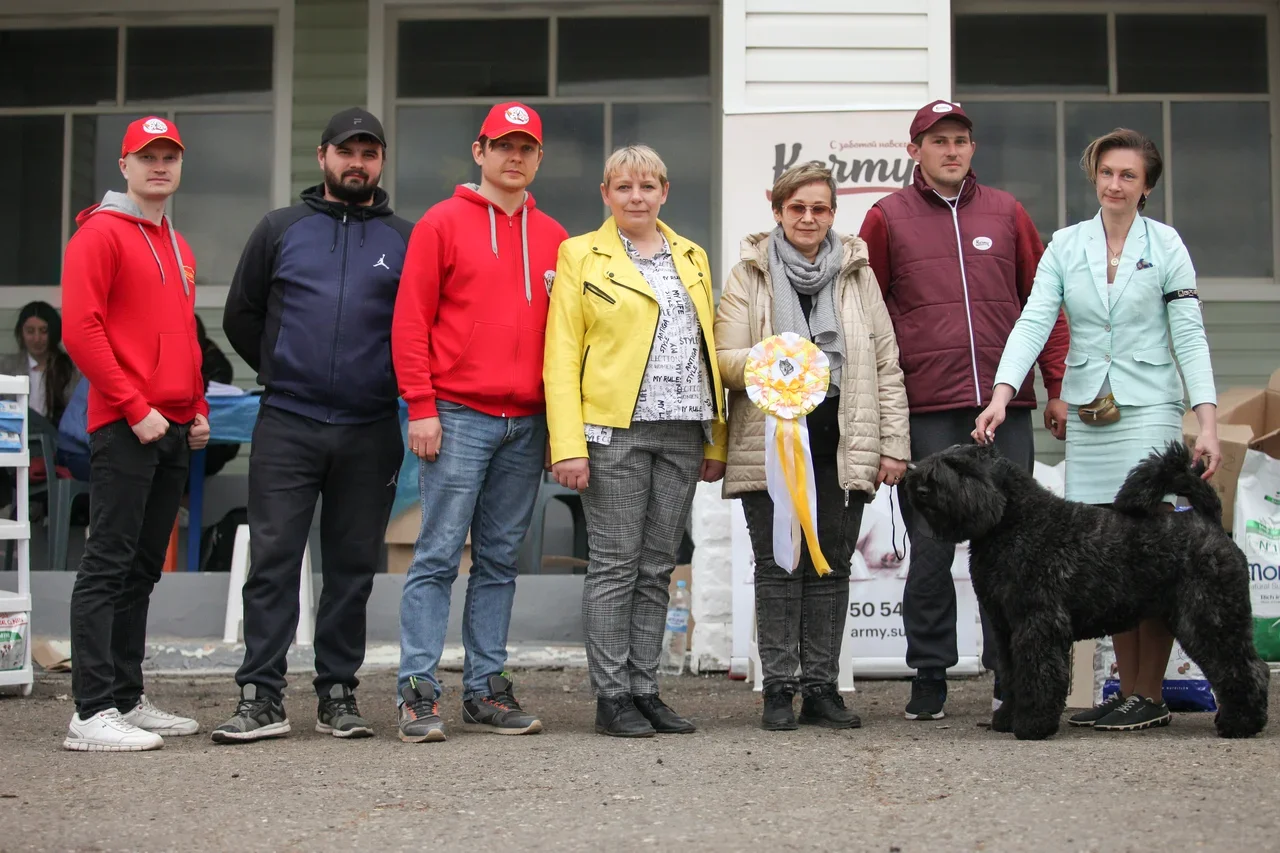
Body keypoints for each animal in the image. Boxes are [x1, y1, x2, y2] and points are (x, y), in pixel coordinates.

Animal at [901, 438, 1269, 737]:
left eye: (960, 467)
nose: (920, 486)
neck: (1013, 522)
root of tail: (1210, 522)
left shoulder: (1038, 623)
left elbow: (1038, 673)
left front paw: (1032, 724)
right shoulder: (1006, 628)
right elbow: (1012, 674)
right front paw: (1006, 718)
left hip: (1209, 617)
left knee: (1245, 667)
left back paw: (1241, 724)